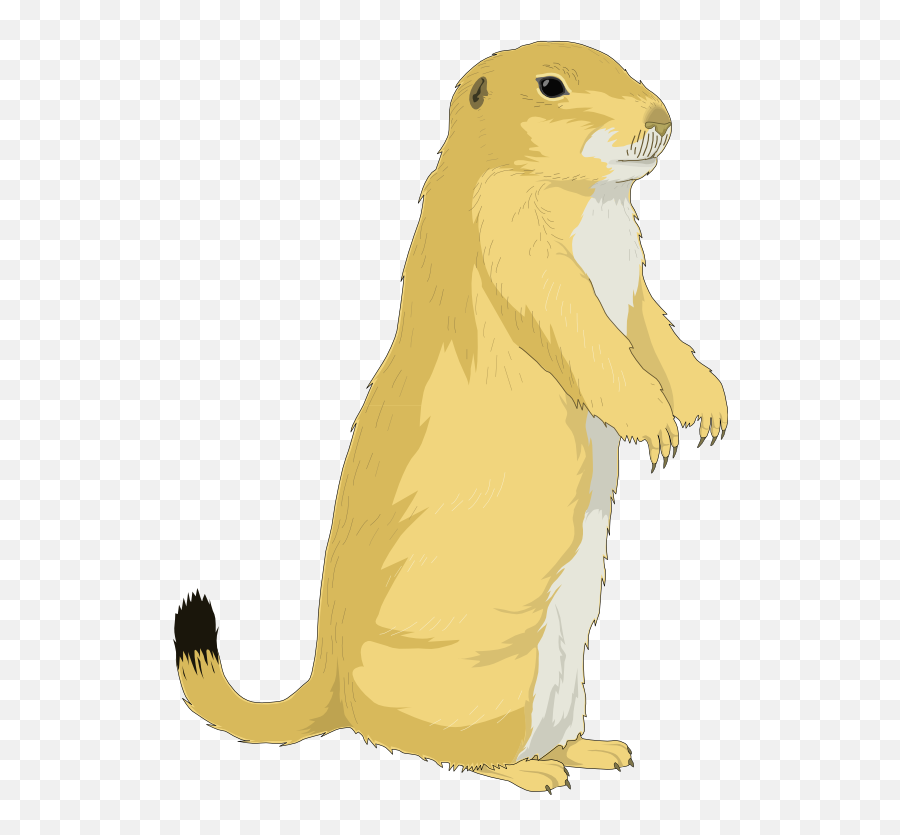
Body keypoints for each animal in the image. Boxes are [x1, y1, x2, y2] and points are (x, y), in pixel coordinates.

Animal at [174, 41, 728, 794]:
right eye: (551, 85)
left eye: (617, 60)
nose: (661, 117)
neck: (597, 213)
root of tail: (331, 681)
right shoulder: (510, 238)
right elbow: (586, 336)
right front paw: (657, 424)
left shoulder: (633, 274)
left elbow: (655, 330)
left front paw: (707, 405)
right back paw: (535, 771)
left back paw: (594, 749)